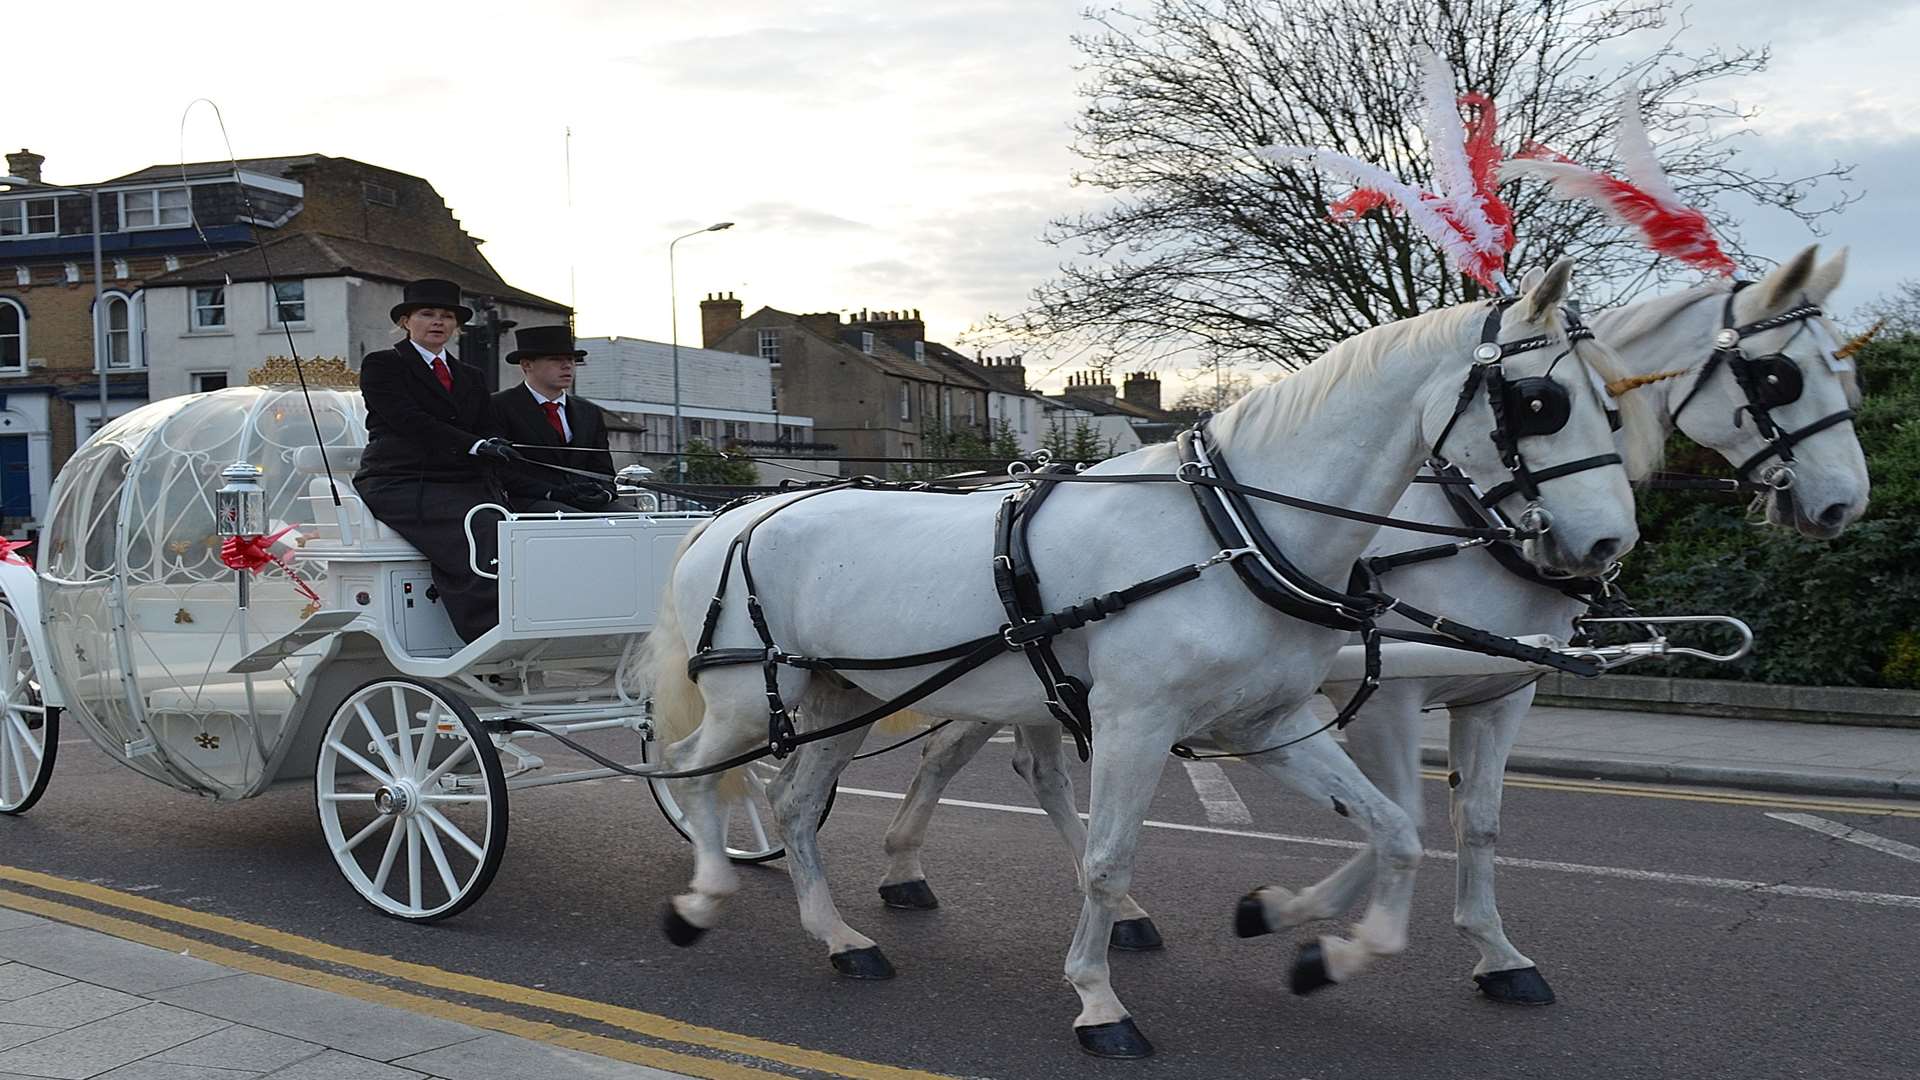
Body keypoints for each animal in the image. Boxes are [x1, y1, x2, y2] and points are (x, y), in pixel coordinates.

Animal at [645, 259, 1651, 1053]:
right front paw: (1098, 1002)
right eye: (1542, 403)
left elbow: (1398, 829)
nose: (1608, 545)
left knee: (793, 799)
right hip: (752, 698)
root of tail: (733, 516)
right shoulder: (1135, 719)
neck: (1231, 528)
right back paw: (704, 895)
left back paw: (842, 936)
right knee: (694, 769)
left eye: (1615, 405)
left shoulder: (1269, 724)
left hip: (841, 696)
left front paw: (1322, 947)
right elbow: (1108, 857)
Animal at [879, 239, 1866, 1006]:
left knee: (986, 758)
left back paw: (948, 877)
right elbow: (1410, 817)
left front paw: (1492, 952)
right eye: (1776, 376)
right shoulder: (1391, 690)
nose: (1843, 505)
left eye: (1844, 372)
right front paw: (1301, 919)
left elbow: (1472, 823)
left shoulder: (1499, 692)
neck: (1461, 517)